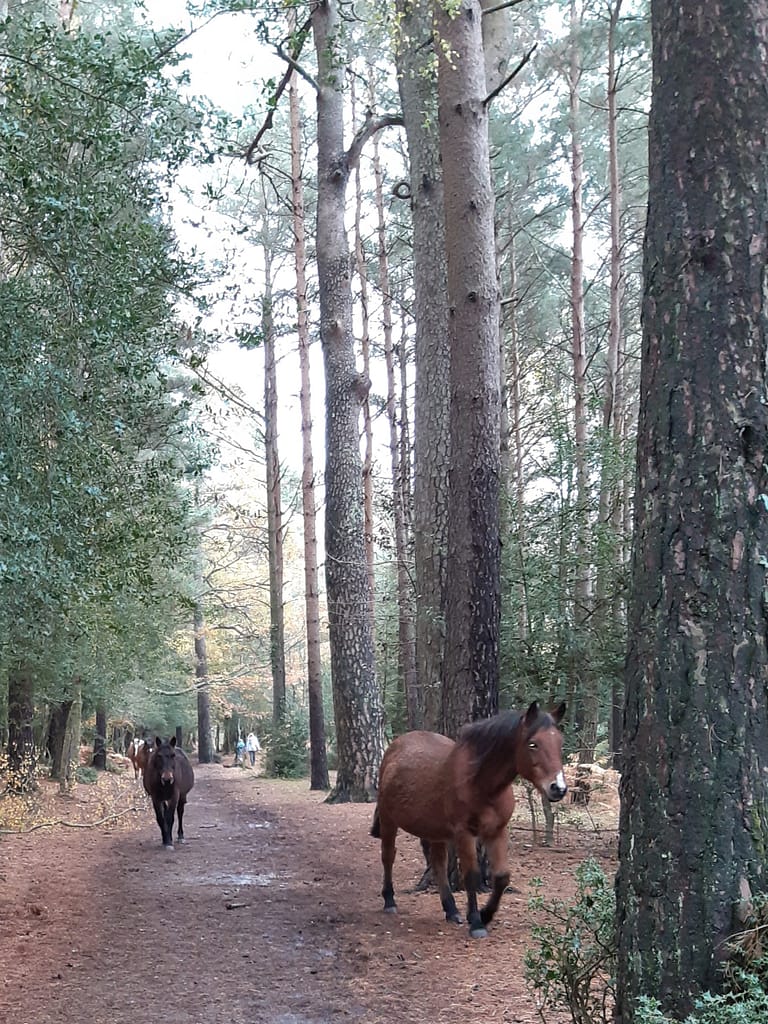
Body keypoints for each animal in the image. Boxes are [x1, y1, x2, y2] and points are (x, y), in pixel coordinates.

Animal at [370, 701, 567, 939]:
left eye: (560, 743)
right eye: (533, 744)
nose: (558, 788)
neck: (480, 782)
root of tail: (394, 748)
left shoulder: (497, 831)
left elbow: (501, 877)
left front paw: (486, 914)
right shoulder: (464, 833)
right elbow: (471, 876)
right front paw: (476, 922)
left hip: (434, 831)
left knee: (438, 864)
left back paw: (451, 910)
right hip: (389, 820)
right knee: (388, 857)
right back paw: (390, 900)